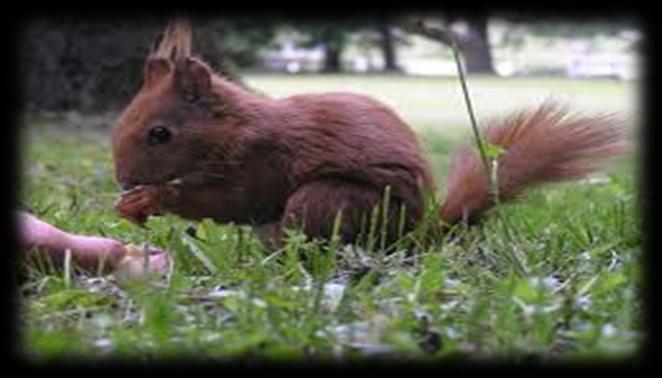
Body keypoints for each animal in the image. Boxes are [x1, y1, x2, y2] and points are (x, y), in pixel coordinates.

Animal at [111, 20, 632, 250]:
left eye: (160, 134)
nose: (122, 180)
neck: (231, 127)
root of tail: (419, 233)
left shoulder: (264, 159)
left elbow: (234, 201)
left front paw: (152, 198)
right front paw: (131, 204)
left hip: (330, 200)